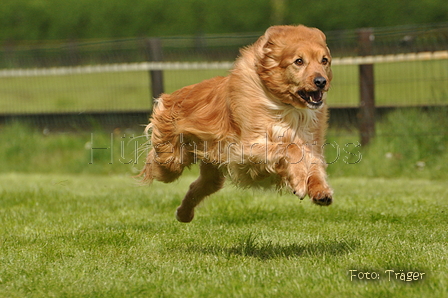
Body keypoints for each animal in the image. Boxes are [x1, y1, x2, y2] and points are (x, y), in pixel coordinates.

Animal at [140, 25, 332, 221]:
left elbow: (313, 165)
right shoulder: (245, 148)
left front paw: (320, 191)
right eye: (299, 61)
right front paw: (300, 182)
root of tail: (172, 96)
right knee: (158, 164)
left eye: (324, 60)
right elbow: (290, 147)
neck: (288, 108)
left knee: (199, 186)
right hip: (171, 161)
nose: (321, 81)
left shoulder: (311, 145)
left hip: (211, 169)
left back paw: (183, 214)